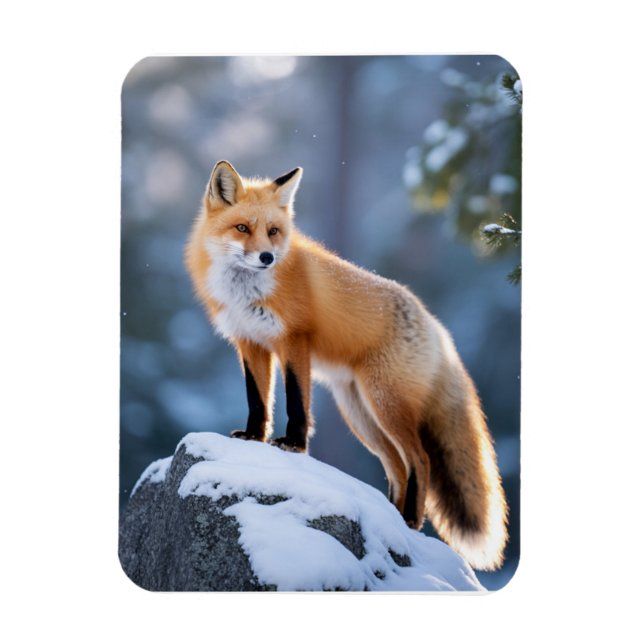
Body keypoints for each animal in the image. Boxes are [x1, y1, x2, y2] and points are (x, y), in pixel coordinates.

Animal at [185, 160, 508, 570]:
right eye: (242, 228)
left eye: (273, 232)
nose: (267, 258)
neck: (247, 290)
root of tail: (436, 326)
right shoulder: (250, 343)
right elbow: (258, 401)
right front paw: (254, 438)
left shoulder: (294, 340)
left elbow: (296, 401)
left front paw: (293, 444)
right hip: (361, 414)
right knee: (398, 467)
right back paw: (393, 521)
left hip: (385, 404)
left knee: (419, 459)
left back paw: (410, 519)